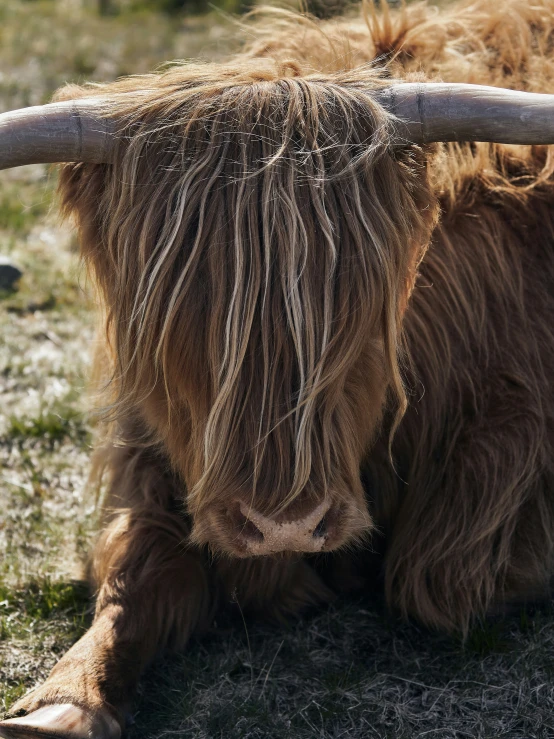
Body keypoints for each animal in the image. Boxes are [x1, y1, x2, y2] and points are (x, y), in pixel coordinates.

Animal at [1, 0, 552, 736]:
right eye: (175, 324)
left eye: (364, 318)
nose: (282, 525)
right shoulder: (152, 463)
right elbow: (134, 571)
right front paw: (60, 702)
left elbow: (435, 578)